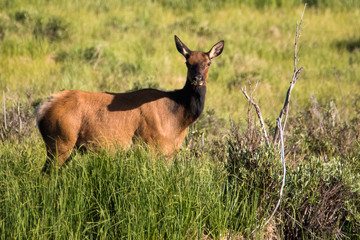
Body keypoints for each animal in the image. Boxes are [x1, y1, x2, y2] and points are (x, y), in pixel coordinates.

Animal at [35, 34, 222, 172]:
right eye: (187, 62)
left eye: (208, 63)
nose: (197, 79)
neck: (177, 119)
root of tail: (42, 109)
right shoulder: (150, 145)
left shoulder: (170, 153)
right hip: (60, 141)